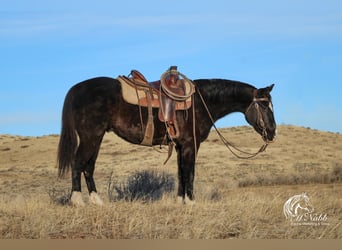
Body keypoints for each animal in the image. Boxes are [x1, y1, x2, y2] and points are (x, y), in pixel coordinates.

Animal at [56, 75, 276, 206]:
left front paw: (179, 202)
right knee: (78, 164)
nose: (273, 131)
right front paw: (191, 203)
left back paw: (97, 201)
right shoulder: (190, 145)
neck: (201, 102)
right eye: (265, 106)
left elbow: (180, 173)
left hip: (96, 137)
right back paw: (77, 200)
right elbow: (190, 173)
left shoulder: (180, 147)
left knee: (88, 167)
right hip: (90, 137)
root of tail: (77, 88)